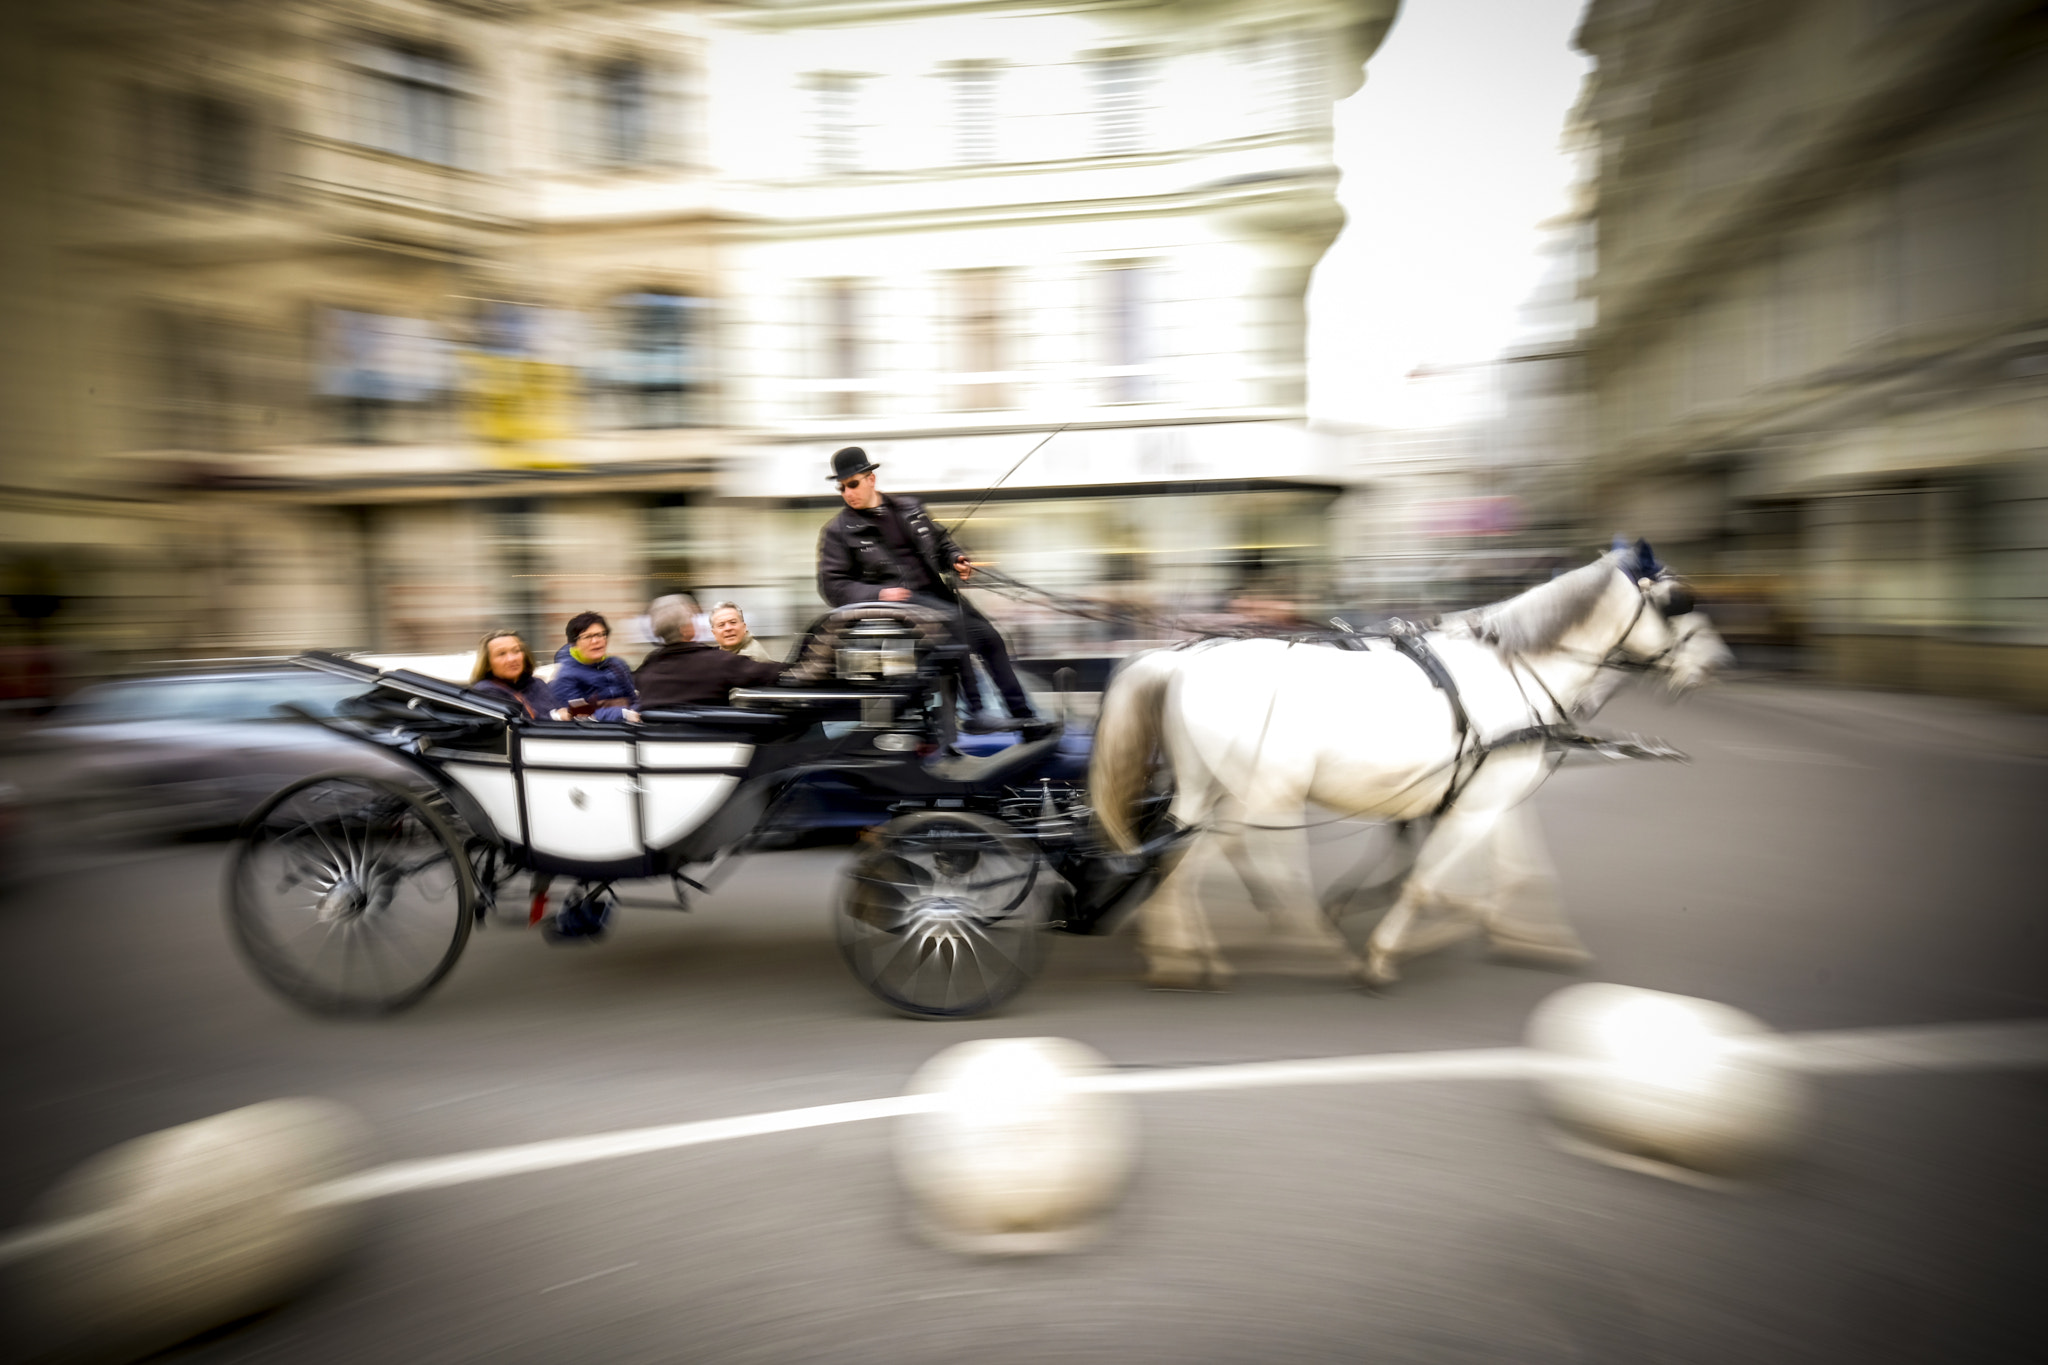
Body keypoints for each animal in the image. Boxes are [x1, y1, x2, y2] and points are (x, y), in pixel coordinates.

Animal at [1089, 544, 1728, 994]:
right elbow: (1429, 882)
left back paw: (1182, 949)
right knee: (1220, 860)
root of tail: (1184, 660)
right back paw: (1260, 948)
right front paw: (1389, 948)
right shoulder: (1479, 801)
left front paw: (1535, 938)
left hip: (1210, 789)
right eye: (1680, 602)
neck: (1518, 670)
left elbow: (1518, 871)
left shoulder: (1491, 790)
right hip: (1259, 794)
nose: (1721, 662)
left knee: (1177, 855)